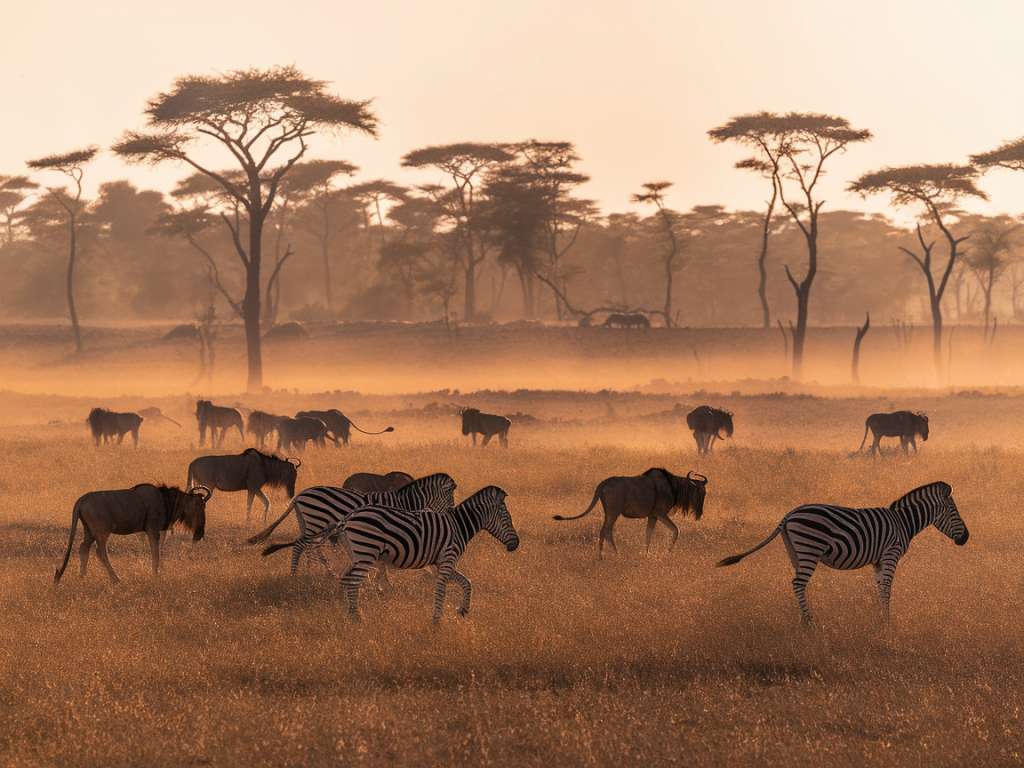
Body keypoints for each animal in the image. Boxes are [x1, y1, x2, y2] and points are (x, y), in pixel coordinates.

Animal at [247, 475, 456, 577]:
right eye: (450, 496)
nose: (453, 511)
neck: (404, 503)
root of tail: (300, 495)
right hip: (315, 521)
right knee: (301, 546)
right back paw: (295, 575)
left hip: (308, 523)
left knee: (309, 546)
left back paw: (317, 570)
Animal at [339, 487, 520, 626]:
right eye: (507, 518)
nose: (516, 544)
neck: (459, 527)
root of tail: (350, 516)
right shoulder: (447, 560)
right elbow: (441, 590)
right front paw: (436, 622)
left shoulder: (441, 563)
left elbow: (466, 583)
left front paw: (462, 611)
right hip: (366, 552)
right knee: (353, 583)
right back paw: (357, 618)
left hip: (358, 554)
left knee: (346, 579)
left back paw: (350, 614)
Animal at [712, 483, 966, 626]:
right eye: (954, 511)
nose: (966, 538)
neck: (903, 522)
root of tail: (790, 513)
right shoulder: (890, 553)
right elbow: (887, 586)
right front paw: (888, 623)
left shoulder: (878, 560)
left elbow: (878, 586)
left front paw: (878, 619)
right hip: (810, 547)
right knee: (798, 582)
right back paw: (808, 623)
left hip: (795, 550)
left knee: (797, 583)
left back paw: (802, 619)